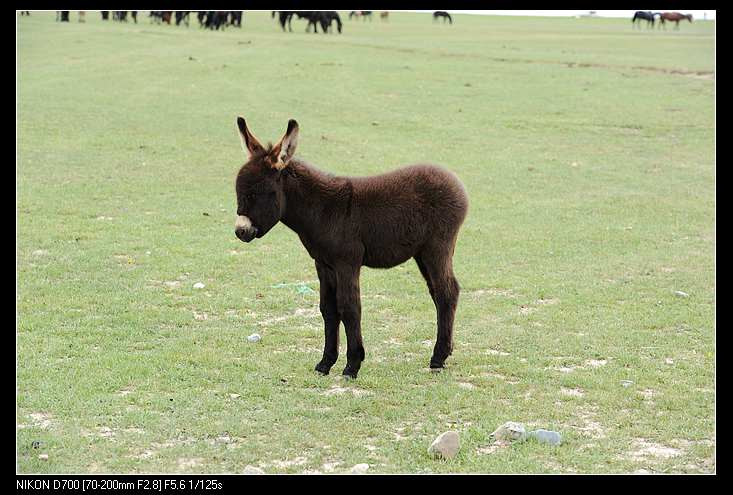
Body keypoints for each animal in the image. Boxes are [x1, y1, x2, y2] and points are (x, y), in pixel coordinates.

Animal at [234, 117, 468, 380]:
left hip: (437, 247)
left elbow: (349, 307)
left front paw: (352, 365)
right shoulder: (323, 264)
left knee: (447, 292)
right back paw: (445, 352)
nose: (240, 231)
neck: (322, 210)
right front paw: (325, 363)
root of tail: (452, 179)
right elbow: (328, 309)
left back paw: (438, 358)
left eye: (258, 194)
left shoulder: (346, 262)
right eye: (239, 193)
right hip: (421, 253)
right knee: (438, 292)